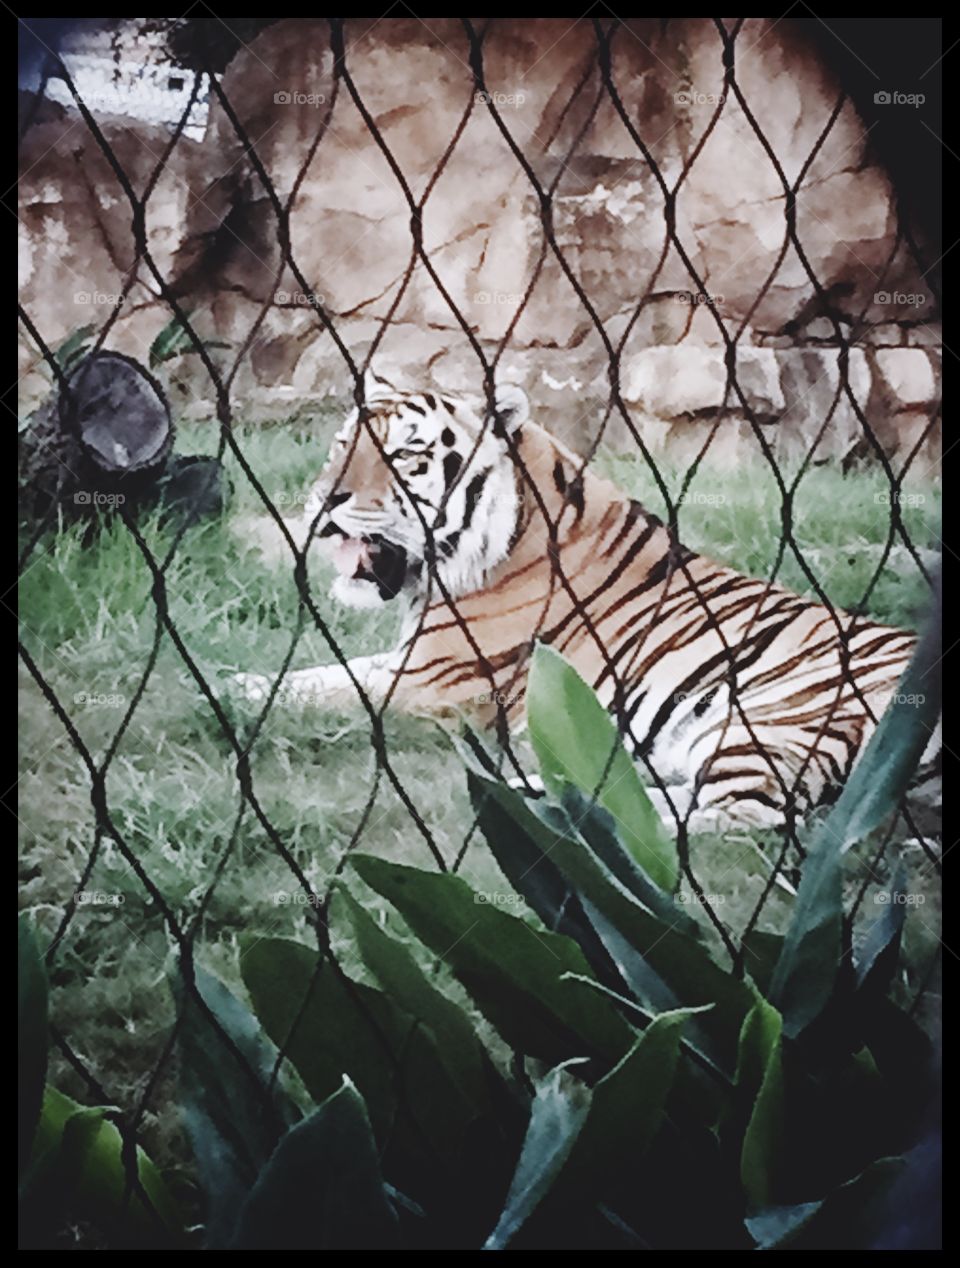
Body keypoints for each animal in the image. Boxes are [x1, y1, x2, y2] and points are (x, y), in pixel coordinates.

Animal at [234, 372, 934, 832]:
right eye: (343, 442)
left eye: (406, 452)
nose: (324, 498)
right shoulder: (410, 662)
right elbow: (317, 674)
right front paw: (238, 681)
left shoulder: (436, 684)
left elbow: (321, 690)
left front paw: (229, 695)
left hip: (773, 722)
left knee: (736, 814)